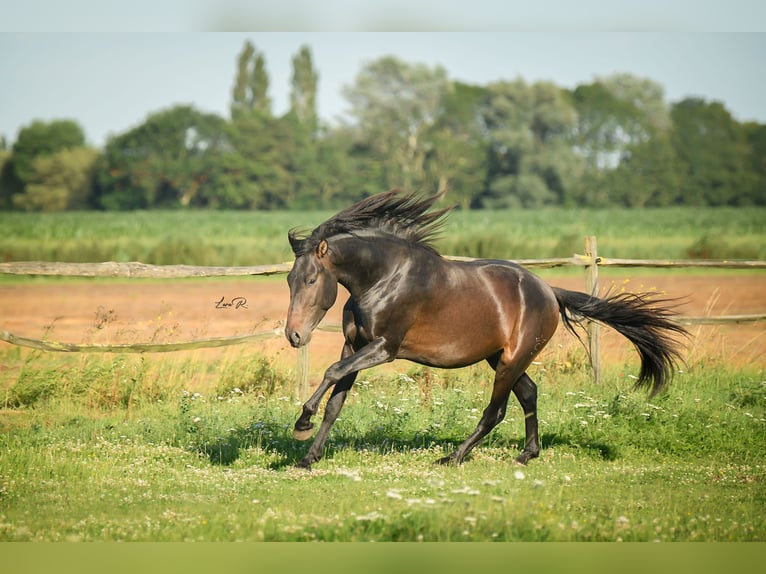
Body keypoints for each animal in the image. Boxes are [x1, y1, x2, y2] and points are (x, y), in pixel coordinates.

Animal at [284, 191, 688, 470]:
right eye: (289, 280)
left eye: (310, 279)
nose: (294, 336)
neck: (384, 278)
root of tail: (549, 291)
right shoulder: (354, 346)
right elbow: (336, 401)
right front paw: (308, 457)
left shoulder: (384, 348)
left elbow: (331, 373)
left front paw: (301, 423)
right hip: (501, 358)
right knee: (529, 394)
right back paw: (527, 454)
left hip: (512, 359)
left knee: (496, 410)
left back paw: (453, 456)